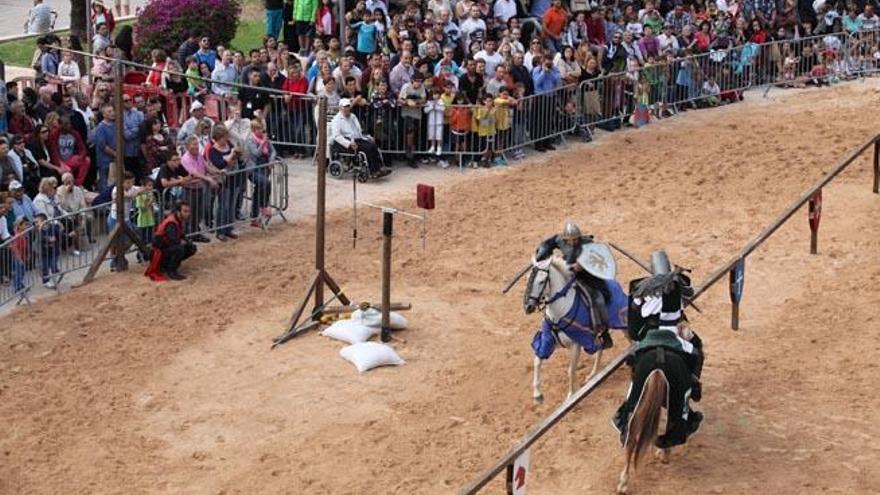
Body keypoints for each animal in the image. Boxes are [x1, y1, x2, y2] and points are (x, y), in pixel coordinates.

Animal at [524, 258, 604, 404]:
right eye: (527, 279)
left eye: (542, 281)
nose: (528, 307)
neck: (559, 313)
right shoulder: (550, 342)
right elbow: (537, 361)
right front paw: (537, 395)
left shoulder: (576, 344)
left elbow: (570, 370)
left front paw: (571, 396)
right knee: (600, 348)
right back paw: (592, 375)